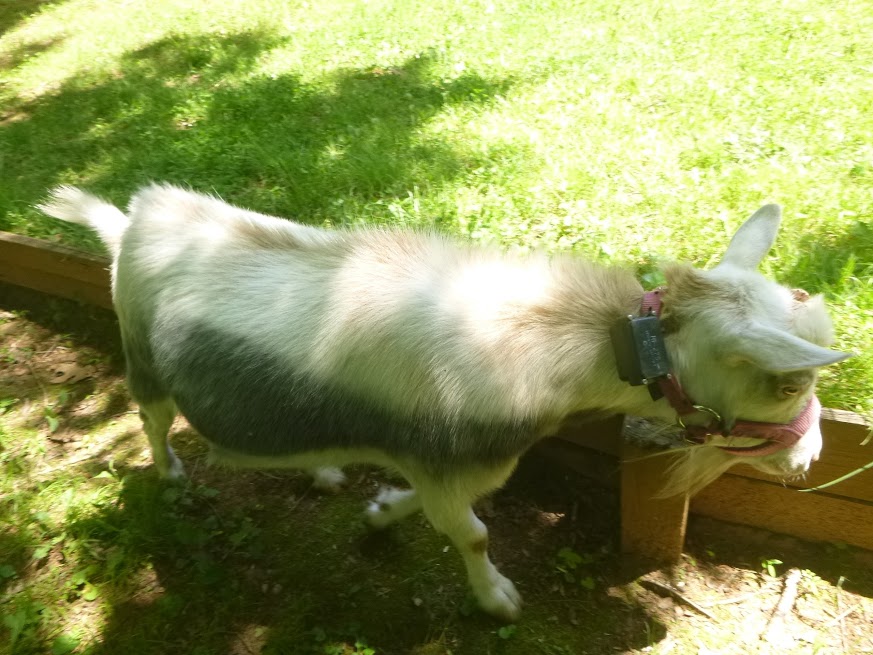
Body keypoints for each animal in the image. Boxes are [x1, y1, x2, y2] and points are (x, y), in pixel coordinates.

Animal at [40, 184, 850, 620]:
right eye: (787, 382)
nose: (811, 456)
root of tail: (132, 218)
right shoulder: (443, 459)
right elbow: (474, 533)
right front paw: (496, 599)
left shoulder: (438, 462)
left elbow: (432, 505)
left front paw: (376, 510)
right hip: (142, 355)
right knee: (149, 417)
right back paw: (172, 473)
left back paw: (323, 471)